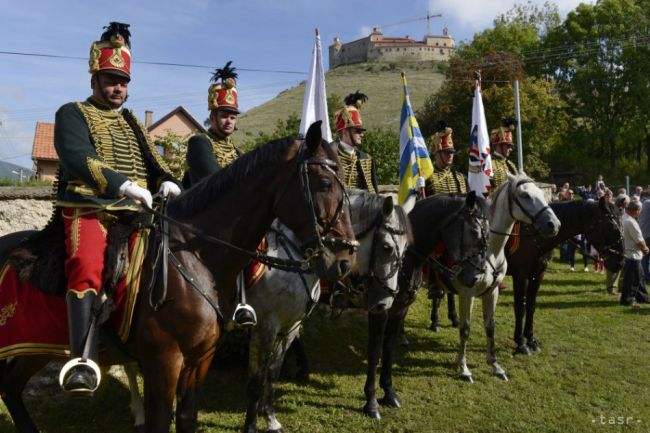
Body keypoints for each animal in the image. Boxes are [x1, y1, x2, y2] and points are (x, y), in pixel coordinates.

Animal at [0, 121, 354, 432]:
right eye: (325, 184)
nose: (344, 260)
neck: (195, 257)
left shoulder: (203, 359)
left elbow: (190, 416)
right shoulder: (166, 361)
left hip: (36, 348)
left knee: (11, 386)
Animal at [506, 198, 624, 354]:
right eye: (612, 228)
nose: (619, 262)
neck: (534, 233)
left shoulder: (538, 274)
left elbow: (531, 306)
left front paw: (531, 340)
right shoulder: (521, 275)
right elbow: (520, 308)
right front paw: (521, 343)